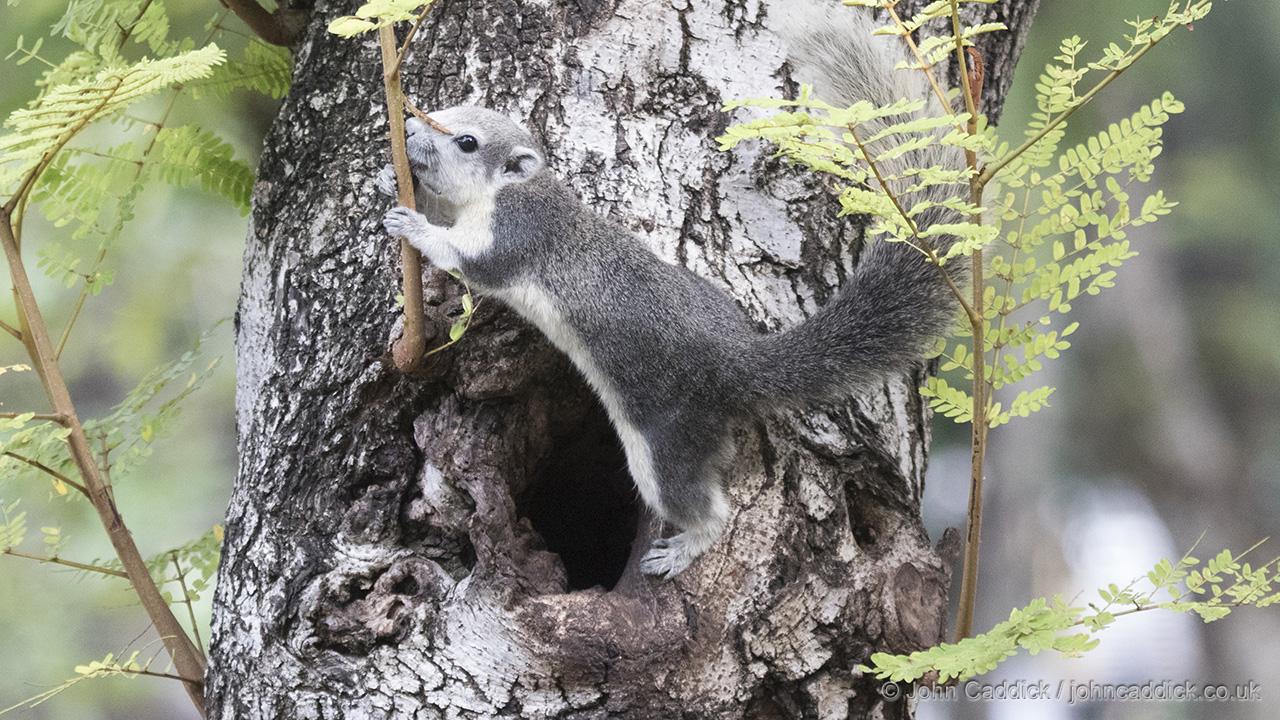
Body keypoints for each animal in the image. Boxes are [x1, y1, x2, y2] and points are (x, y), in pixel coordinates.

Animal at [376, 1, 964, 579]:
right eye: (445, 110)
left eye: (467, 142)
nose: (408, 131)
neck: (506, 191)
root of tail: (737, 361)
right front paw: (394, 182)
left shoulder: (516, 232)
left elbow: (469, 261)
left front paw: (412, 224)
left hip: (667, 442)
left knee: (707, 510)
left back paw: (683, 549)